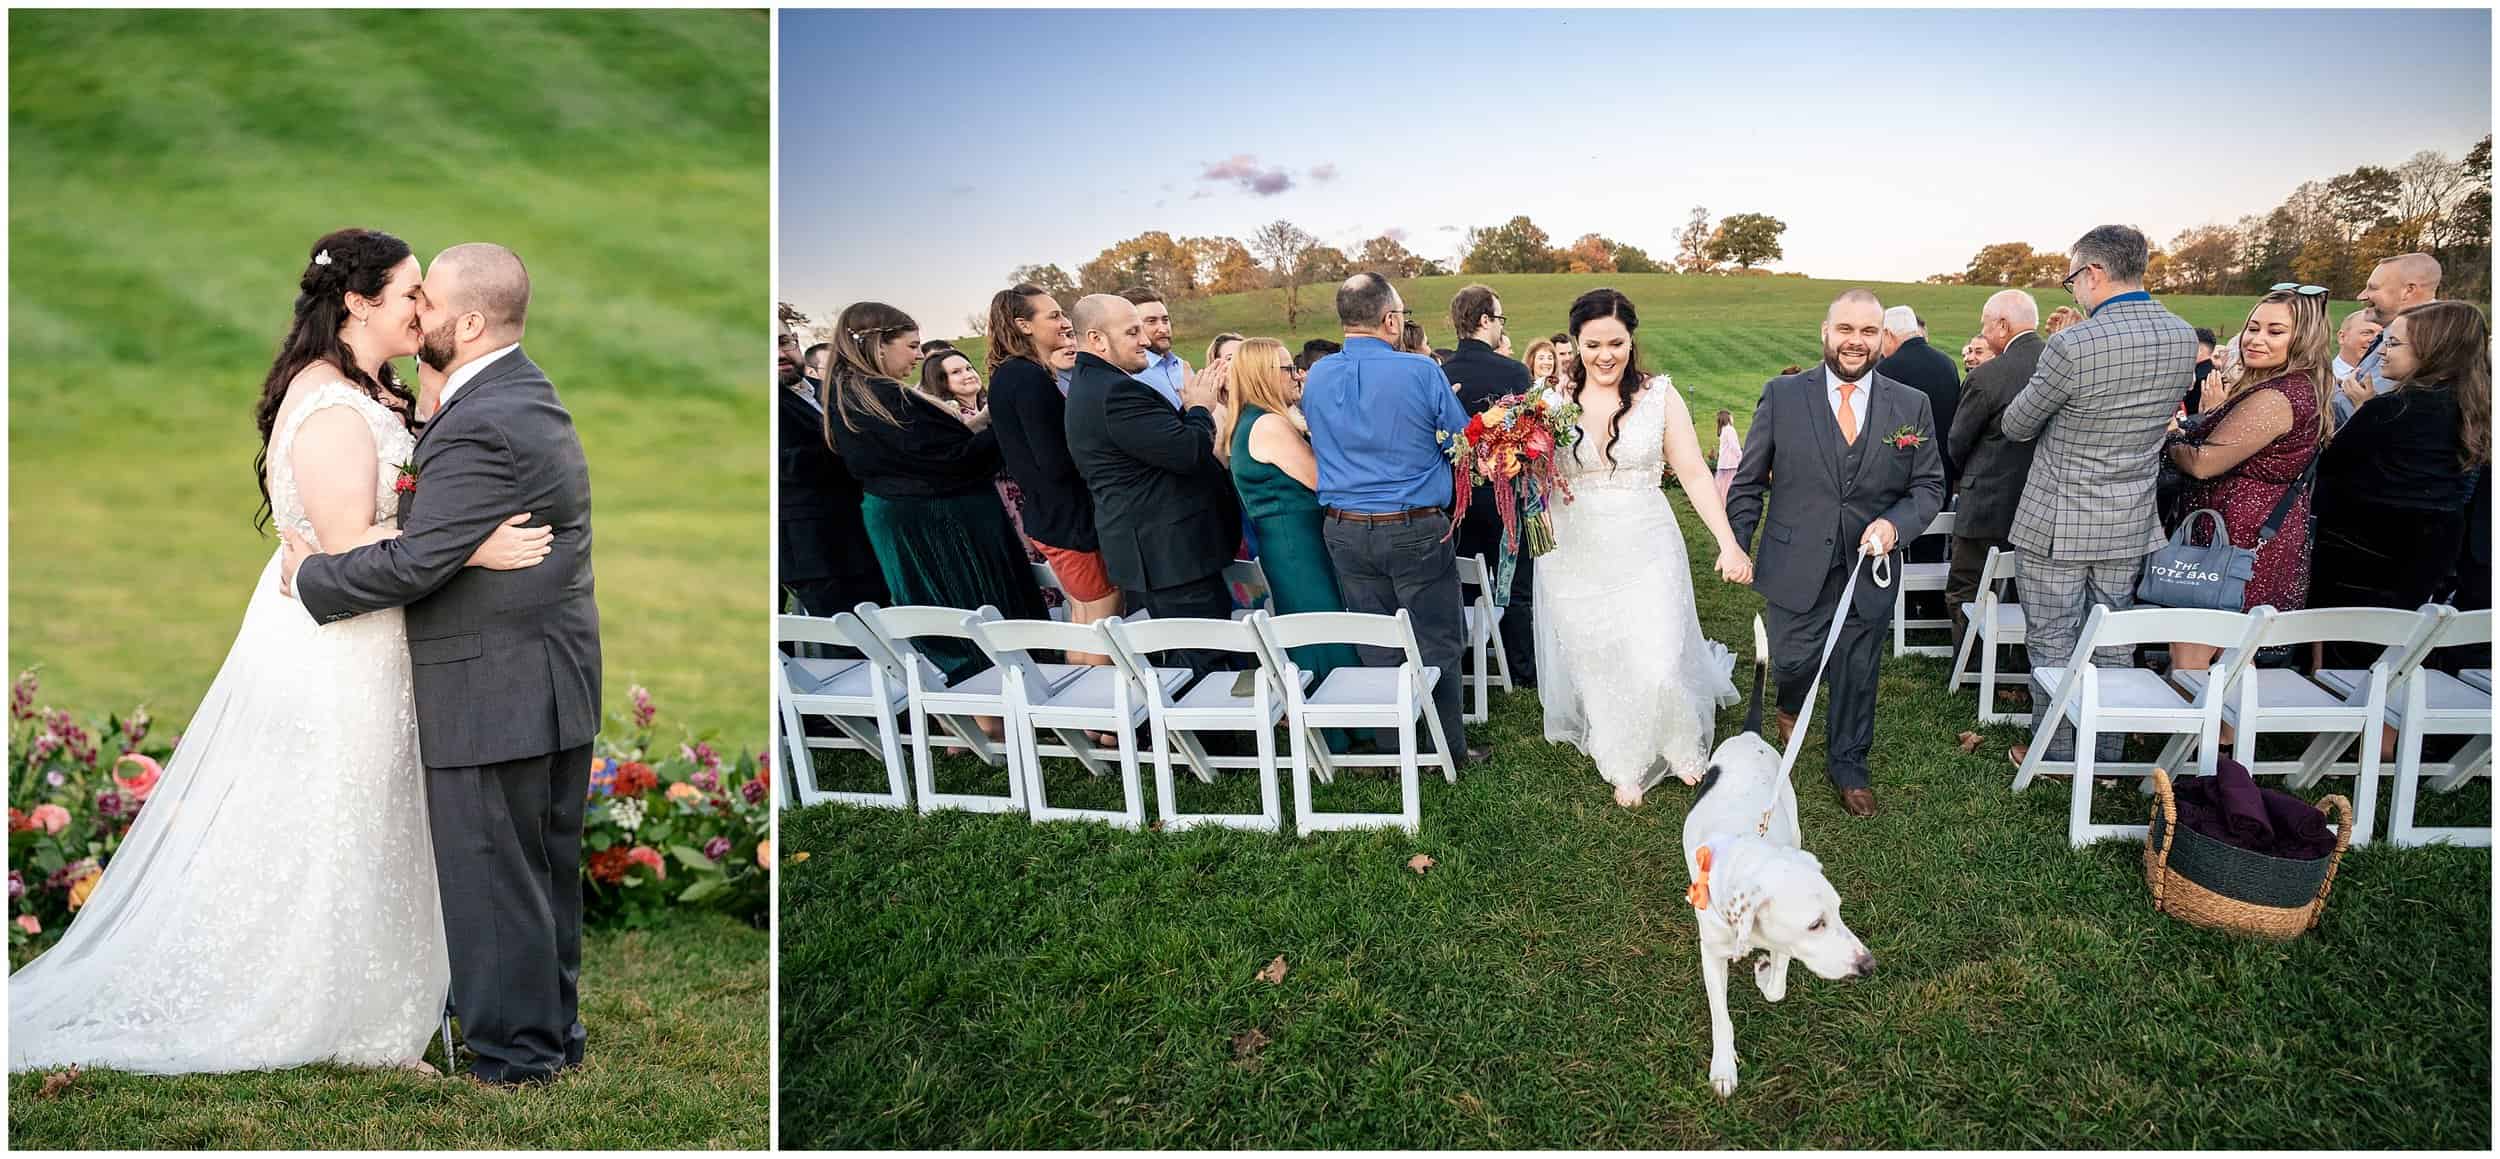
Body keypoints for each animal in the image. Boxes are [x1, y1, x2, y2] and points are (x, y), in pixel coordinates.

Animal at [1680, 614, 1880, 1094]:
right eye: (1816, 923)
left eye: (1839, 912)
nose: (1869, 965)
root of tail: (1749, 733)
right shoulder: (1710, 953)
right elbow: (1721, 1017)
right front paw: (1723, 1066)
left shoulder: (1784, 943)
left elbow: (1777, 987)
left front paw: (1763, 972)